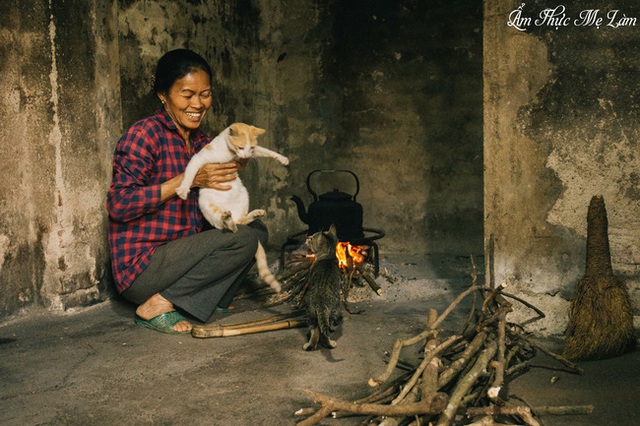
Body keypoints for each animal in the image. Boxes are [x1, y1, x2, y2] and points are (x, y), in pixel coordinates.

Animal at [174, 121, 286, 292]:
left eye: (251, 148)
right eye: (240, 147)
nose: (246, 156)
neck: (229, 153)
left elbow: (265, 150)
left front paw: (282, 158)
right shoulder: (199, 159)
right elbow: (190, 174)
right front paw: (183, 189)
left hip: (243, 193)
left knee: (240, 221)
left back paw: (252, 214)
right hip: (205, 204)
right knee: (225, 225)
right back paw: (227, 220)